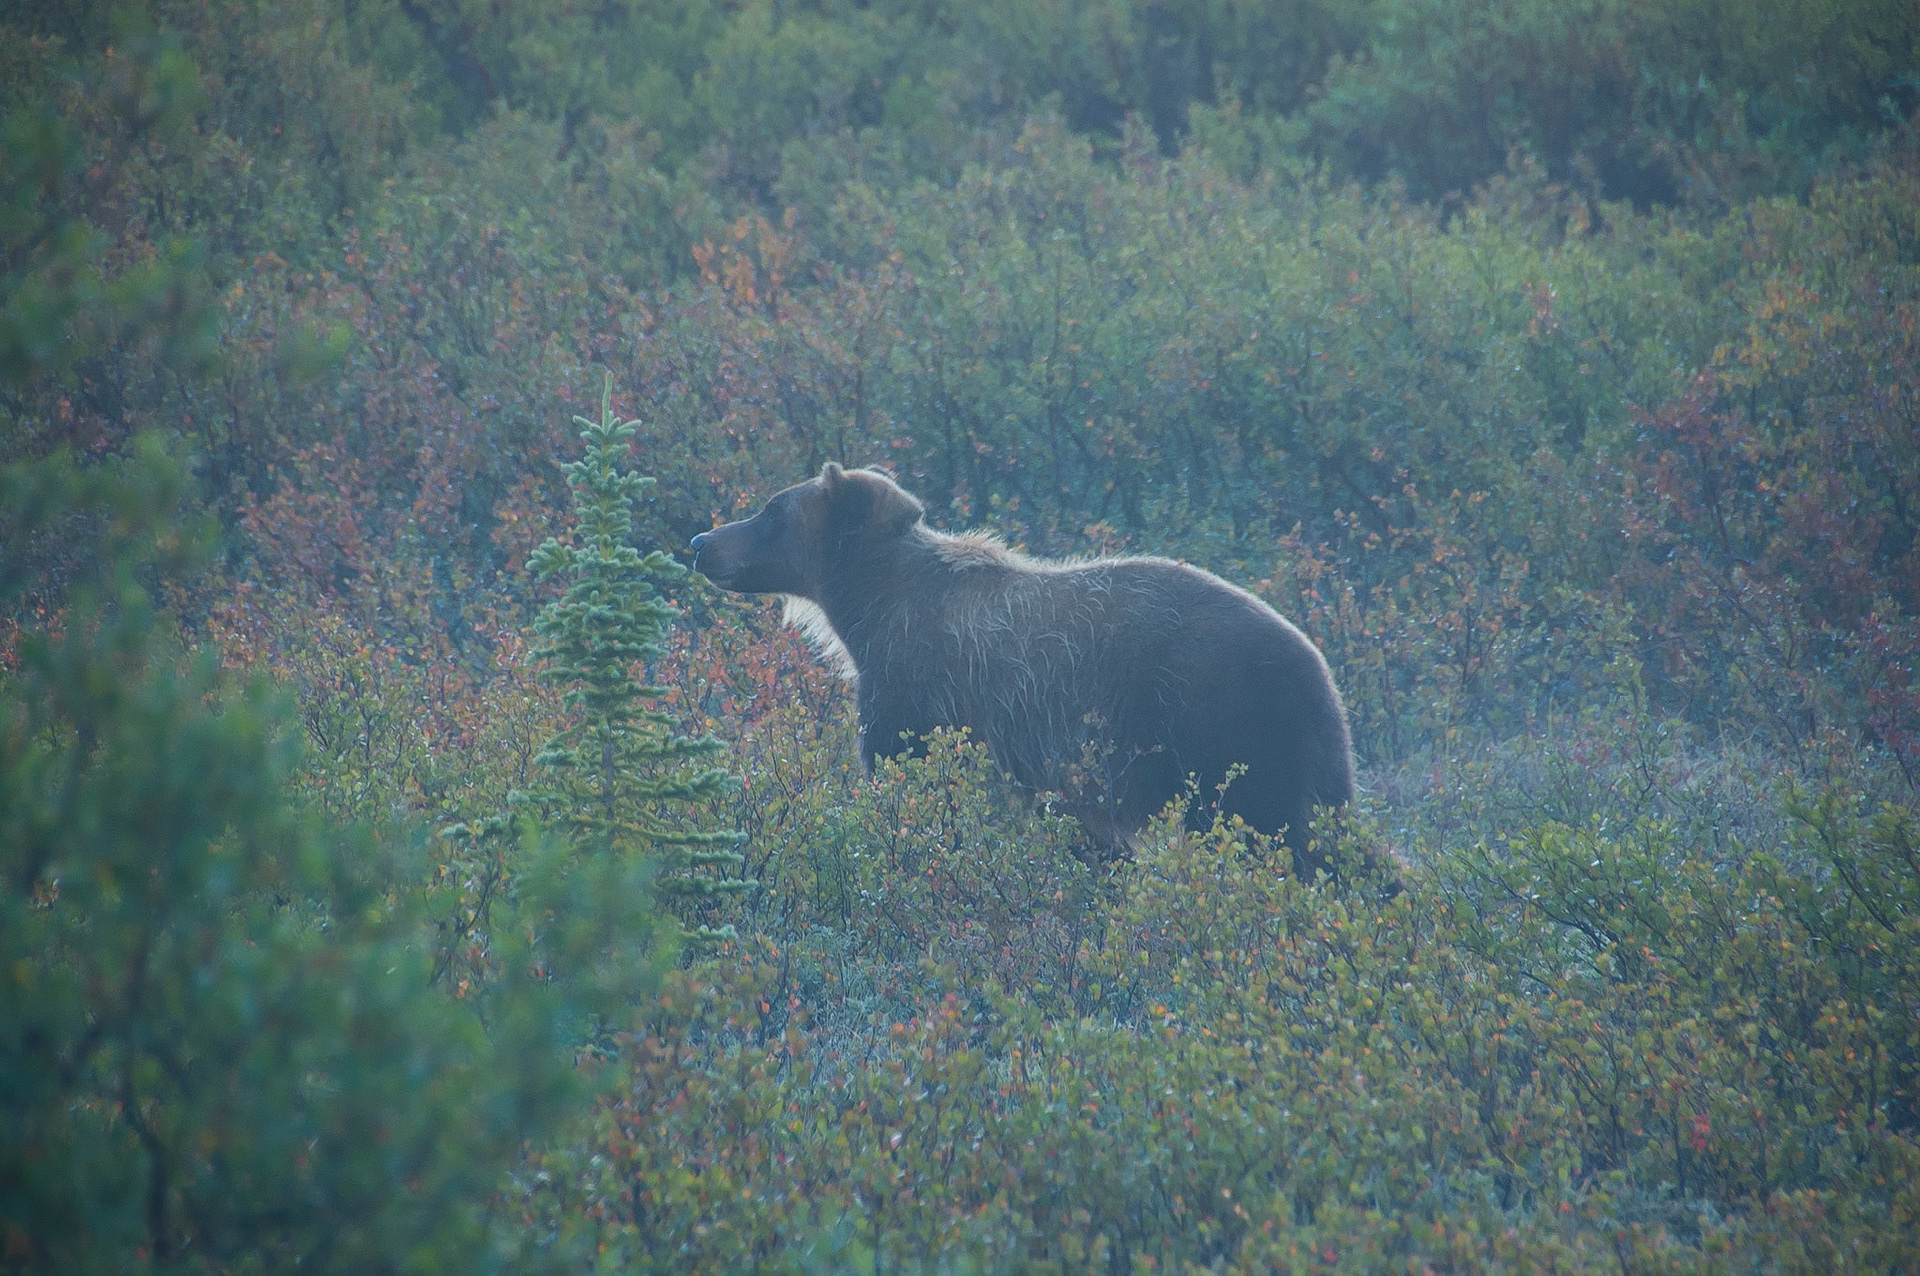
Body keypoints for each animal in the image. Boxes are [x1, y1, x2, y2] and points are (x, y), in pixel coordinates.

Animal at [692, 463, 1356, 864]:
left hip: (1223, 726)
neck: (871, 609)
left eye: (771, 511)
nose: (702, 542)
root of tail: (1318, 667)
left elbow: (908, 770)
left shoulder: (920, 688)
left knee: (1270, 830)